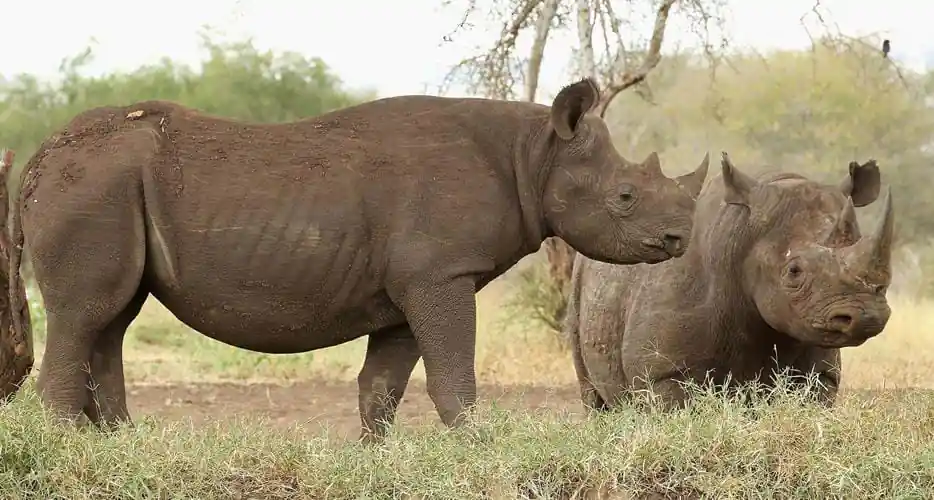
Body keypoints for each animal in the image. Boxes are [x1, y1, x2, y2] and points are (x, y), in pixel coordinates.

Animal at [0, 78, 711, 441]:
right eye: (625, 197)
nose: (679, 239)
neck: (534, 155)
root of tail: (35, 161)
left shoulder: (412, 282)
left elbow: (384, 385)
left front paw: (378, 456)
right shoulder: (441, 273)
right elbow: (452, 378)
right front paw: (477, 447)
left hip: (106, 187)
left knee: (111, 318)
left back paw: (120, 447)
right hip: (91, 185)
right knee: (86, 313)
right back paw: (73, 450)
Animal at [566, 152, 894, 410]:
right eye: (793, 272)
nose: (865, 316)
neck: (743, 236)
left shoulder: (821, 371)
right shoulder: (662, 373)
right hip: (579, 282)